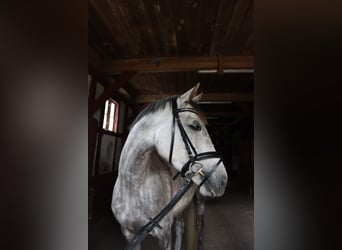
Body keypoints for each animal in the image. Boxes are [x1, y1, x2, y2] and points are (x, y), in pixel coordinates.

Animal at [111, 84, 227, 250]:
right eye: (195, 126)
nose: (223, 180)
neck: (132, 187)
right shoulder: (130, 235)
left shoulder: (164, 236)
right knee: (180, 227)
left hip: (200, 200)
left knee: (199, 224)